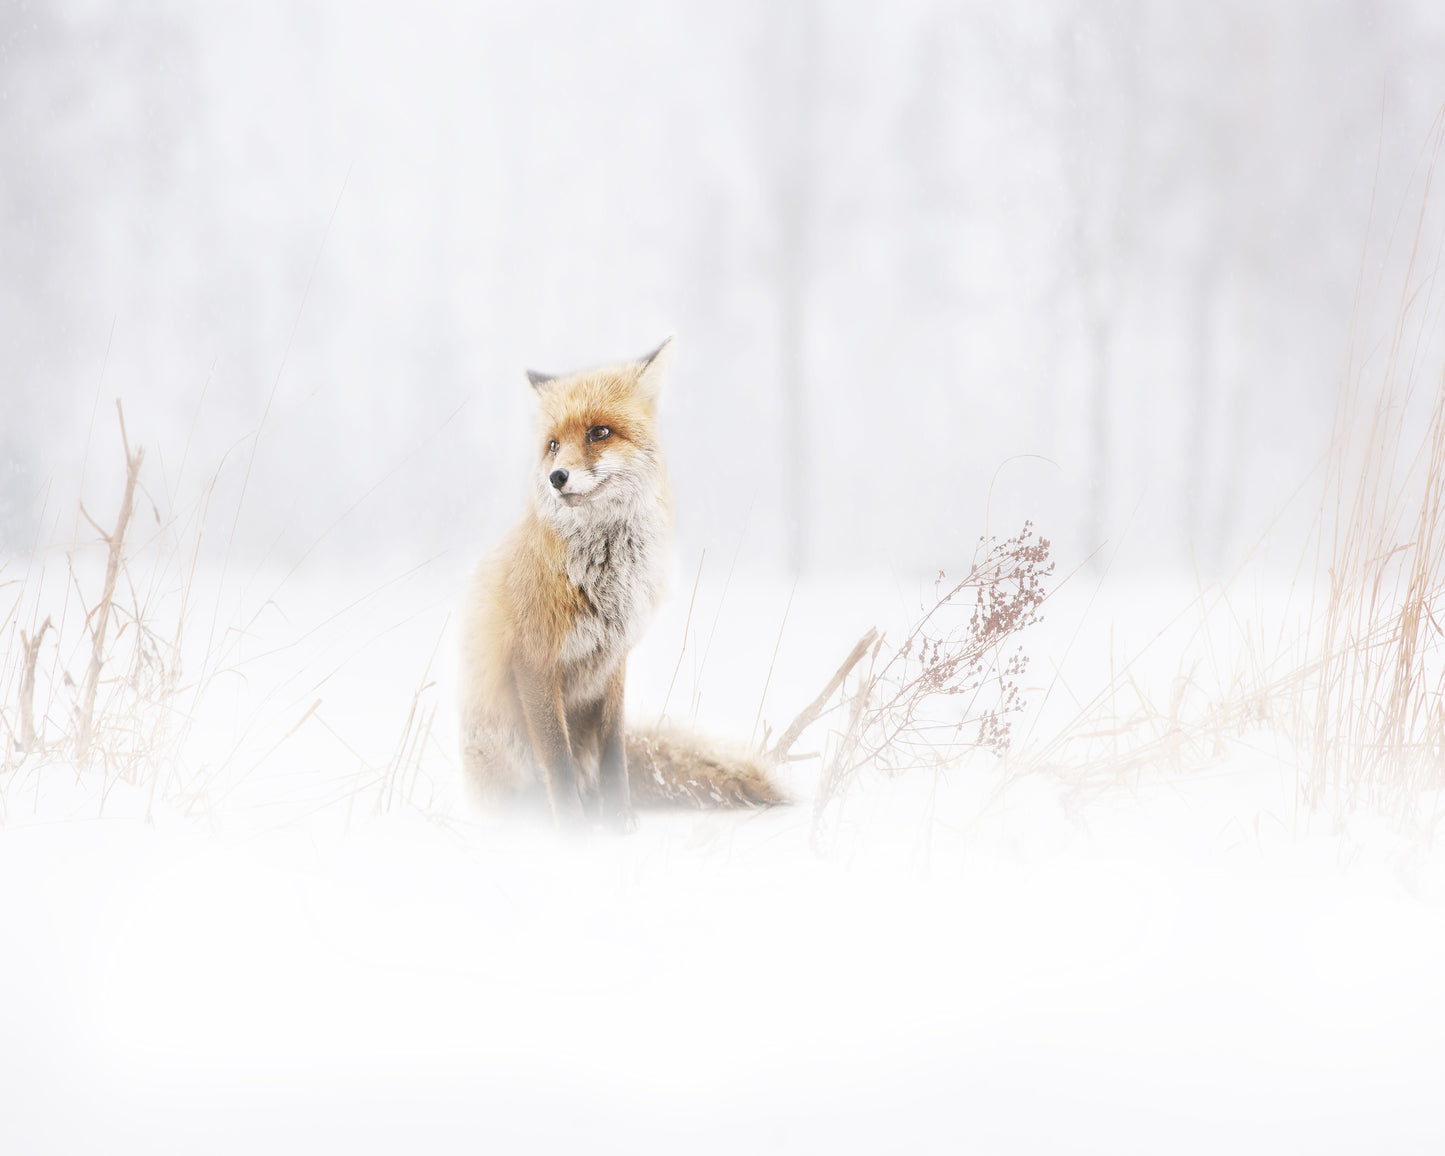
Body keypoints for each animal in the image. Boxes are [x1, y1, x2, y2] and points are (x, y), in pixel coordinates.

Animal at [459, 338, 783, 829]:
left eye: (599, 433)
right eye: (553, 446)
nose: (556, 478)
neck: (605, 581)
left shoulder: (613, 661)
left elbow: (613, 749)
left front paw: (619, 819)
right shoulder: (534, 661)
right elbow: (558, 759)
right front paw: (573, 831)